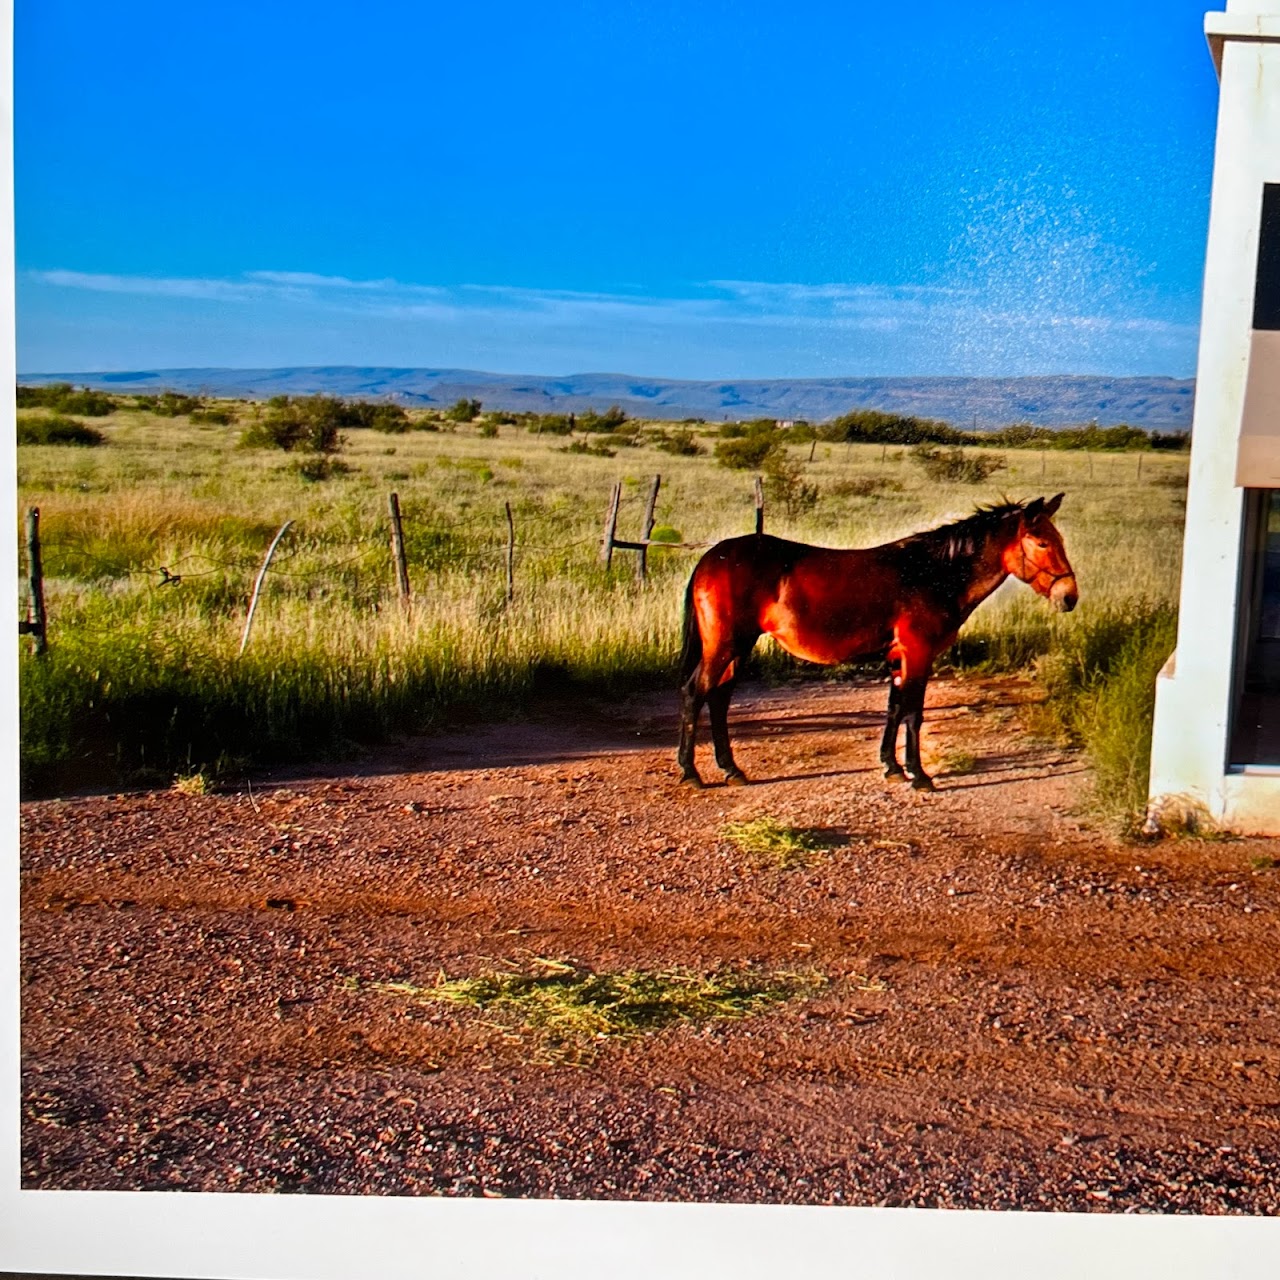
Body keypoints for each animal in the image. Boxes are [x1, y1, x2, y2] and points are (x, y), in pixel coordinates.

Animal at [675, 491, 1075, 783]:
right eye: (1041, 543)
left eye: (1059, 539)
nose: (1069, 596)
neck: (931, 573)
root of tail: (711, 557)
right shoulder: (918, 652)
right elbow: (913, 712)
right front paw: (919, 775)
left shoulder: (899, 656)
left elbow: (894, 708)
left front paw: (892, 767)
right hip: (725, 645)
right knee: (696, 693)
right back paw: (691, 772)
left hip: (739, 647)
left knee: (719, 699)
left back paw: (731, 770)